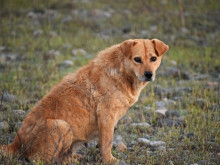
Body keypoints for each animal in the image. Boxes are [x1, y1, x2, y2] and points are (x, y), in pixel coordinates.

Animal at [0, 38, 168, 164]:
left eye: (153, 58)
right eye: (137, 59)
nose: (149, 74)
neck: (122, 72)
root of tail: (16, 143)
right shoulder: (106, 116)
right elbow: (107, 143)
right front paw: (109, 160)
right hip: (61, 126)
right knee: (40, 159)